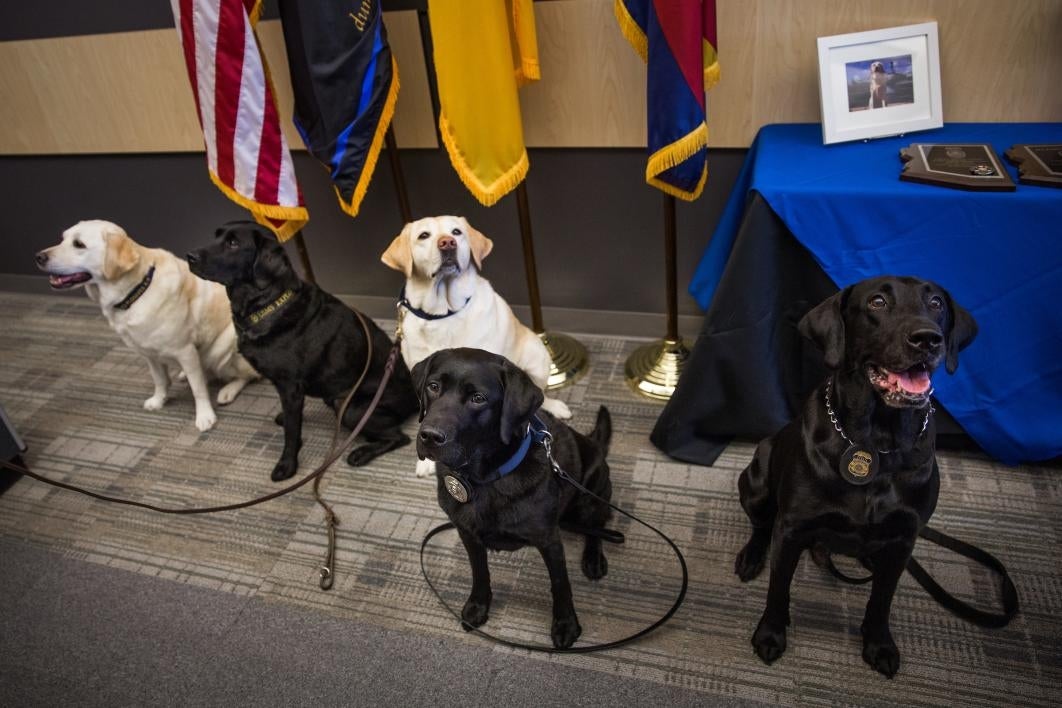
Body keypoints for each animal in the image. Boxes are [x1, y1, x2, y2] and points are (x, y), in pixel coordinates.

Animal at [37, 219, 257, 433]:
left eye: (79, 244)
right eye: (63, 239)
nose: (39, 257)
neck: (136, 290)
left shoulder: (184, 350)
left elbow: (198, 389)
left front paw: (204, 416)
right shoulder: (147, 351)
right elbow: (159, 379)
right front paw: (158, 400)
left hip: (223, 349)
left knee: (247, 375)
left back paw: (228, 390)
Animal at [184, 219, 416, 481]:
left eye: (233, 243)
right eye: (216, 236)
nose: (189, 256)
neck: (266, 306)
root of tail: (416, 397)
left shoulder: (290, 387)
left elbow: (292, 433)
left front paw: (287, 466)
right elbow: (291, 420)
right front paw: (284, 419)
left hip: (350, 408)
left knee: (400, 437)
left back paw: (361, 453)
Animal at [384, 216, 573, 479]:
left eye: (456, 232)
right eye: (424, 235)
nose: (447, 243)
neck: (443, 313)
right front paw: (428, 462)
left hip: (537, 357)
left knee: (542, 394)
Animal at [414, 346, 615, 649]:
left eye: (478, 398)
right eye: (433, 386)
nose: (429, 436)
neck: (484, 479)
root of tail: (595, 443)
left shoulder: (549, 540)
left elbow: (560, 584)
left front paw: (566, 624)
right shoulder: (467, 532)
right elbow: (479, 572)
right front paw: (477, 607)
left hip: (590, 493)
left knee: (597, 524)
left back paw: (593, 558)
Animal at [734, 273, 972, 679]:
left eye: (936, 303)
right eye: (877, 302)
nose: (927, 339)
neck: (877, 442)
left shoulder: (904, 540)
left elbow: (882, 600)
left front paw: (879, 645)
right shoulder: (792, 528)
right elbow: (778, 588)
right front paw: (769, 634)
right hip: (756, 479)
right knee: (761, 524)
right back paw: (751, 556)